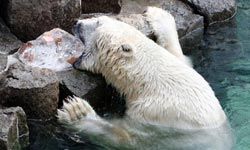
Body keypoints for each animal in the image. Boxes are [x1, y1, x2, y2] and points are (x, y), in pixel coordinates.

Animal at [57, 7, 231, 149]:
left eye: (98, 22)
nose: (77, 22)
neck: (149, 82)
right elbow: (181, 57)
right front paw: (159, 14)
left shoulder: (154, 114)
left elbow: (127, 138)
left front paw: (77, 112)